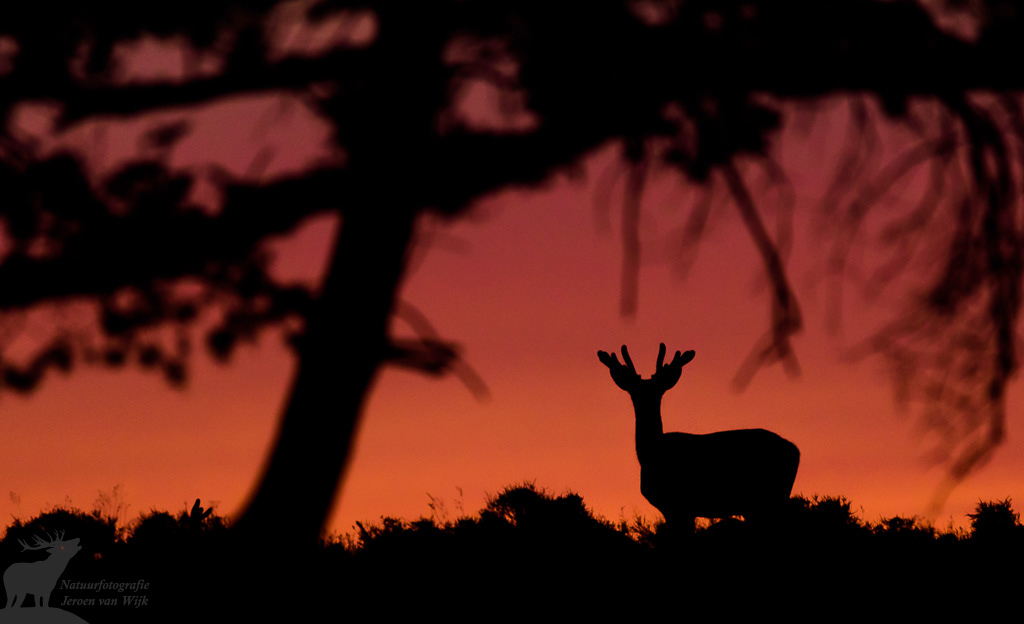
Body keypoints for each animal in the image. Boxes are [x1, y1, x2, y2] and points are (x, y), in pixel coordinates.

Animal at [598, 344, 800, 531]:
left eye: (658, 393)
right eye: (634, 394)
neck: (650, 453)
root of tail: (796, 450)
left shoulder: (678, 506)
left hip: (767, 498)